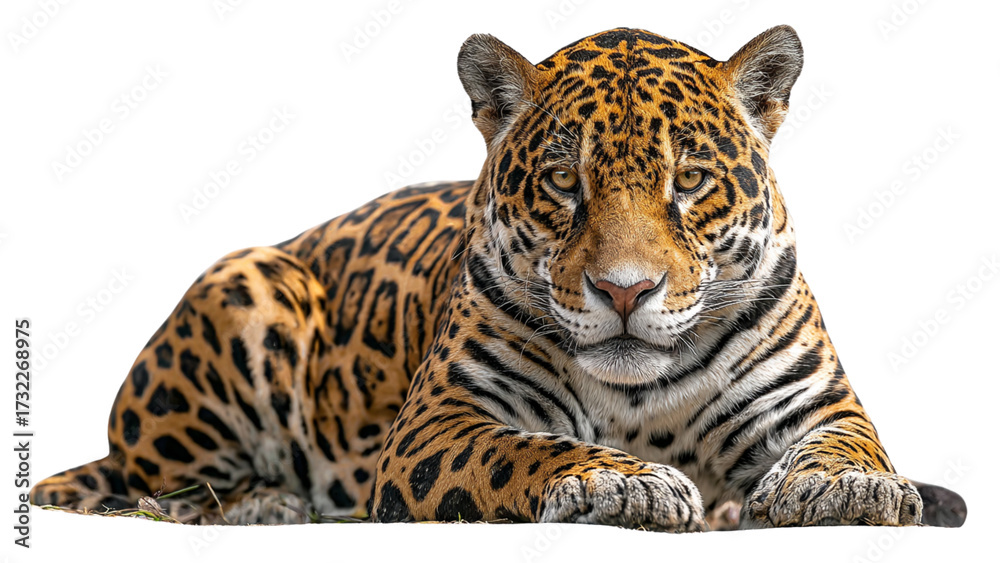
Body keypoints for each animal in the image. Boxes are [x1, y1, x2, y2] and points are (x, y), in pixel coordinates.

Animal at [32, 25, 966, 530]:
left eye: (691, 180)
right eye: (562, 182)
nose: (625, 292)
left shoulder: (817, 403)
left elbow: (846, 444)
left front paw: (843, 485)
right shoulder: (438, 423)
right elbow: (521, 448)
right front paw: (616, 480)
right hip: (246, 285)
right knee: (161, 487)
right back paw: (273, 505)